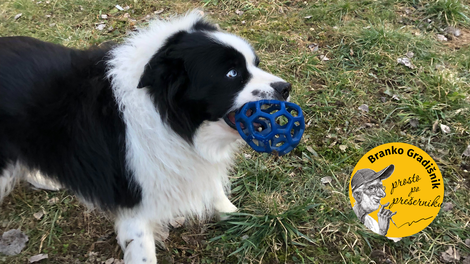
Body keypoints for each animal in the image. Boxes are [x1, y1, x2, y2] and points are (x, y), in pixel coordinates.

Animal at [0, 10, 292, 264]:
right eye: (232, 74)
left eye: (255, 64)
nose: (286, 88)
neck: (165, 114)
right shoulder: (134, 201)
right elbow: (142, 250)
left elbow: (214, 188)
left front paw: (233, 215)